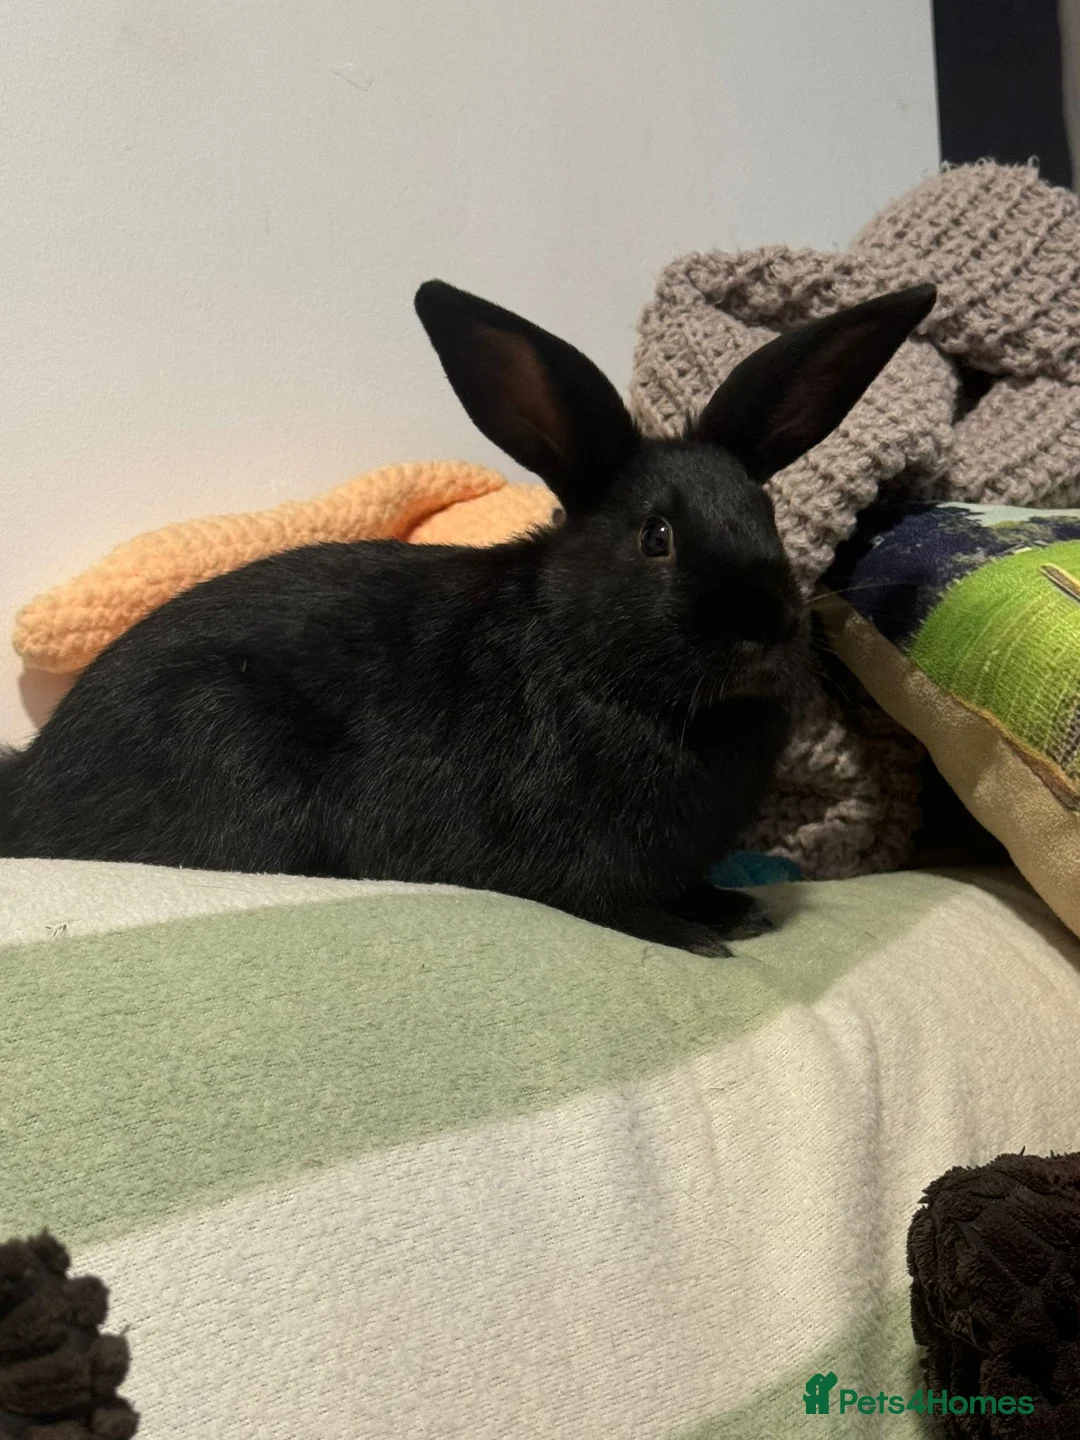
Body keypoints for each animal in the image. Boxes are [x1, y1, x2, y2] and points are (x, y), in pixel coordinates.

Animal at [0, 277, 935, 954]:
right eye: (656, 537)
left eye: (767, 515)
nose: (763, 625)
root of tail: (32, 785)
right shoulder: (578, 857)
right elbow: (618, 904)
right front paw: (700, 939)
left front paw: (734, 908)